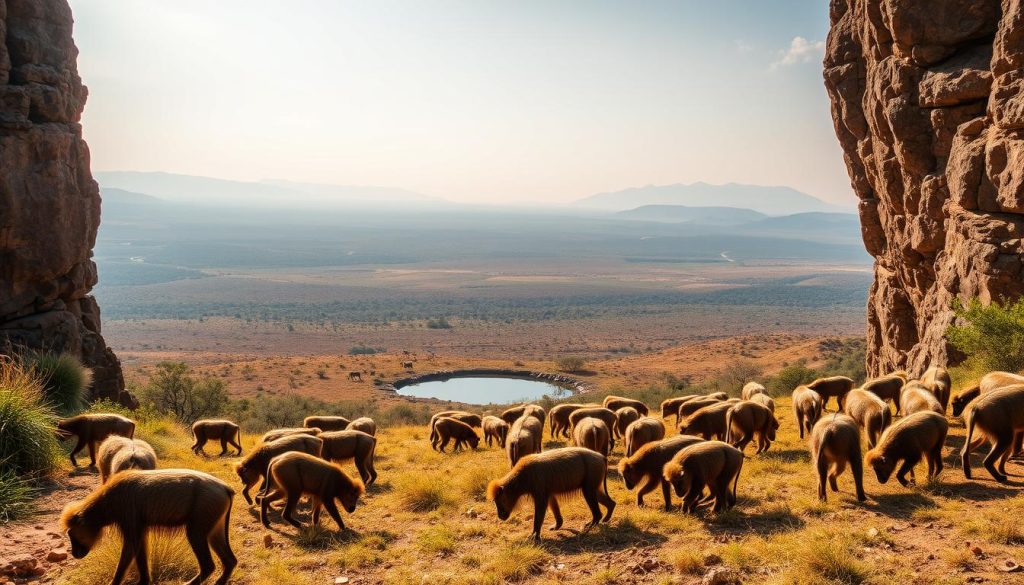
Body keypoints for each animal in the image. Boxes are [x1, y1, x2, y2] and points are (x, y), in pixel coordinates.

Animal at [61, 469, 236, 585]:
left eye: (72, 535)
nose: (74, 553)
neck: (107, 501)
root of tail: (224, 487)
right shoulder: (140, 529)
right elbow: (141, 556)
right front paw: (144, 582)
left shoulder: (130, 524)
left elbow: (127, 556)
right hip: (215, 528)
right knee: (230, 561)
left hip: (197, 527)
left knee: (208, 565)